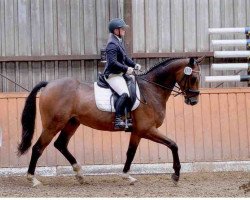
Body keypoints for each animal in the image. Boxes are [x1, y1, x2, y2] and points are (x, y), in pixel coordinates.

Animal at [18, 55, 205, 186]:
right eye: (193, 78)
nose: (194, 101)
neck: (151, 90)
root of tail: (49, 84)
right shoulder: (147, 129)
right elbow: (173, 145)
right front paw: (176, 176)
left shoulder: (137, 132)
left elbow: (131, 152)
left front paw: (127, 176)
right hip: (53, 124)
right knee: (38, 148)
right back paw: (32, 179)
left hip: (72, 123)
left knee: (61, 144)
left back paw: (80, 174)